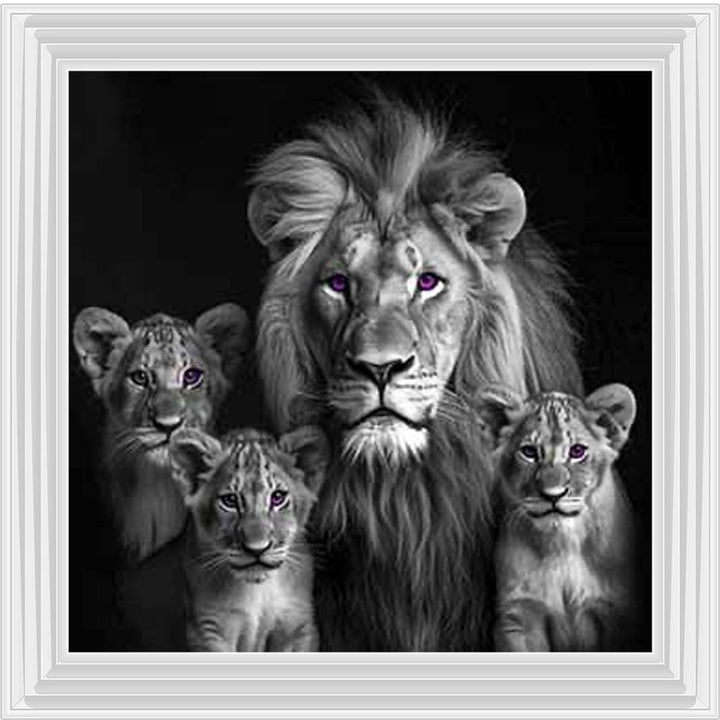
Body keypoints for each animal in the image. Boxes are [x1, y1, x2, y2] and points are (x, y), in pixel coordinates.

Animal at [169, 426, 328, 652]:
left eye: (277, 497)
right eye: (230, 500)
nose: (257, 549)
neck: (258, 590)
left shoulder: (298, 626)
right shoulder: (208, 630)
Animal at [475, 383, 638, 652]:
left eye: (577, 451)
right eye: (529, 452)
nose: (553, 494)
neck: (562, 543)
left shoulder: (618, 613)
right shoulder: (519, 615)